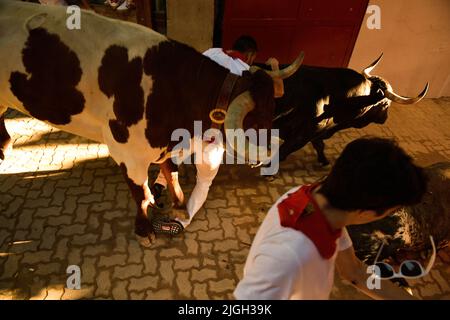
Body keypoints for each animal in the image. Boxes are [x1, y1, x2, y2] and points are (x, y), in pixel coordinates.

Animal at [0, 1, 304, 245]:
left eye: (272, 112)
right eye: (258, 121)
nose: (270, 158)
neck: (171, 88)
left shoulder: (165, 145)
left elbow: (172, 175)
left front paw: (180, 205)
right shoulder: (128, 153)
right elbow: (143, 195)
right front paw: (144, 230)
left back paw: (5, 145)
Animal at [268, 54, 428, 165]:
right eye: (386, 105)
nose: (385, 118)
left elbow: (319, 145)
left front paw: (324, 160)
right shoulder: (304, 134)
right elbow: (284, 151)